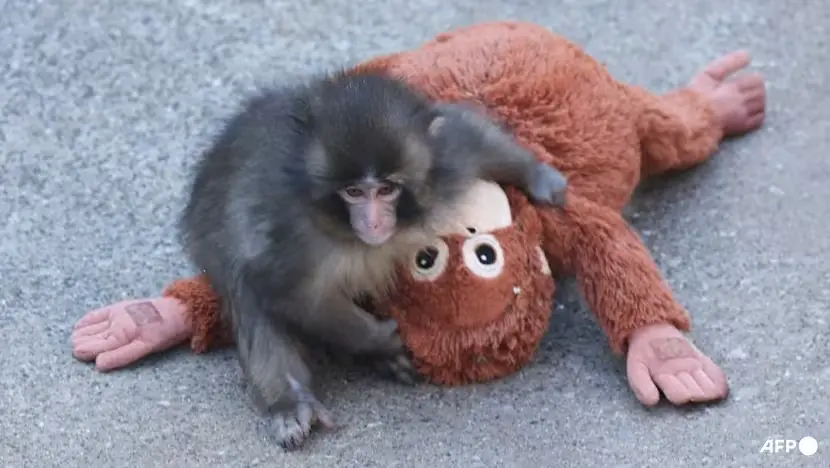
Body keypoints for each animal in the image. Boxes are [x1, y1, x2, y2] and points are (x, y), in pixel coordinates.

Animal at [177, 69, 568, 450]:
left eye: (386, 189)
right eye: (353, 192)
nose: (373, 222)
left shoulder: (444, 161)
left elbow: (467, 133)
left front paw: (540, 177)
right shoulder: (287, 233)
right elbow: (290, 294)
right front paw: (381, 339)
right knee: (246, 290)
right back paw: (291, 401)